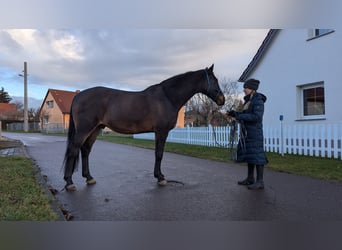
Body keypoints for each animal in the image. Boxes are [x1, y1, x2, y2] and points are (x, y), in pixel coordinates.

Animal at [63, 64, 226, 189]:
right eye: (214, 80)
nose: (222, 99)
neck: (167, 97)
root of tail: (78, 96)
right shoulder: (161, 131)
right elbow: (159, 154)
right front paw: (160, 178)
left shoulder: (158, 132)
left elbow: (157, 153)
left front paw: (159, 175)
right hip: (84, 129)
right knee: (73, 150)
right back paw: (69, 182)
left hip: (95, 129)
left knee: (85, 150)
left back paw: (89, 177)